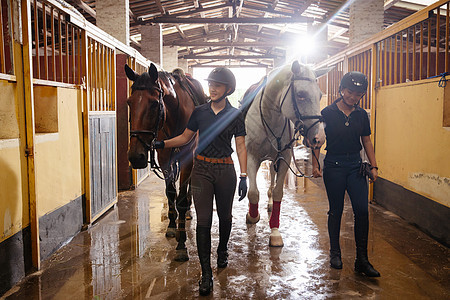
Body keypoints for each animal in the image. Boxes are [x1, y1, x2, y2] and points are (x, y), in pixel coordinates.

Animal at [124, 62, 207, 260]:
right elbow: (170, 193)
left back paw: (188, 212)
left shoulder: (187, 158)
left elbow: (181, 199)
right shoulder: (164, 159)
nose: (135, 156)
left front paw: (182, 244)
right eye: (129, 102)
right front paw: (171, 226)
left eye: (155, 104)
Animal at [243, 60, 326, 246]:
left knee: (272, 178)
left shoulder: (284, 157)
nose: (319, 137)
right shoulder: (252, 156)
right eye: (301, 94)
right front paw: (252, 215)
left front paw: (274, 232)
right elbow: (253, 192)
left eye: (320, 95)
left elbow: (278, 193)